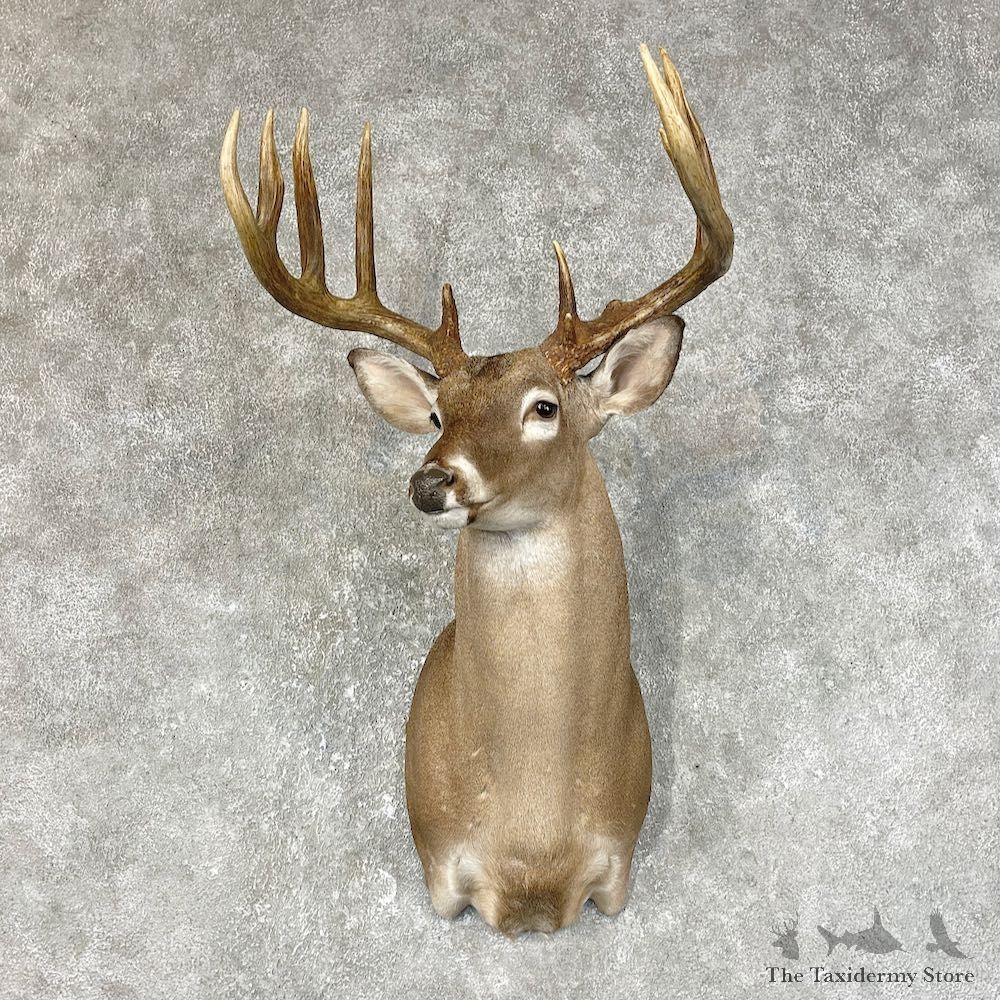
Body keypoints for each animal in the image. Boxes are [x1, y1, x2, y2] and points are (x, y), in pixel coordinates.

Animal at [219, 44, 733, 936]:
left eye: (545, 406)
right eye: (437, 411)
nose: (432, 480)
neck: (533, 833)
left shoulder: (618, 866)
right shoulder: (439, 866)